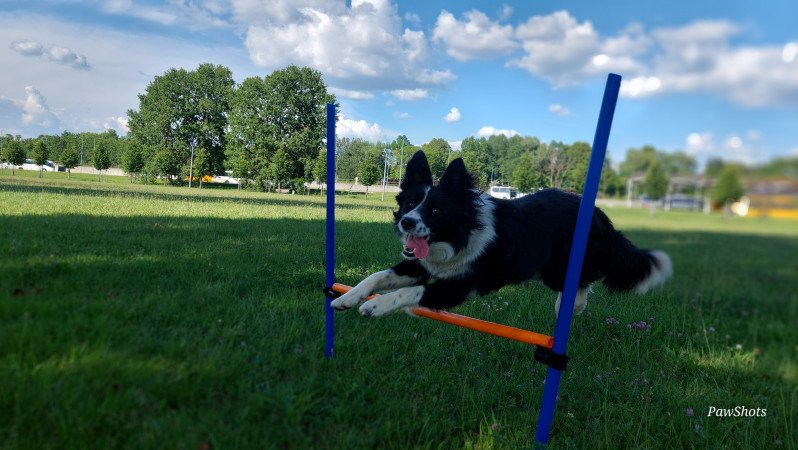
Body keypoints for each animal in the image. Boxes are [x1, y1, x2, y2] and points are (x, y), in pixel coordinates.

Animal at [332, 150, 676, 316]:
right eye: (410, 203)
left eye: (436, 211)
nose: (406, 223)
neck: (459, 236)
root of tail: (600, 214)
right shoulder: (421, 265)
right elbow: (377, 276)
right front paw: (347, 297)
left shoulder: (461, 286)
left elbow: (411, 293)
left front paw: (375, 306)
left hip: (559, 268)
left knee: (585, 278)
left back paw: (571, 306)